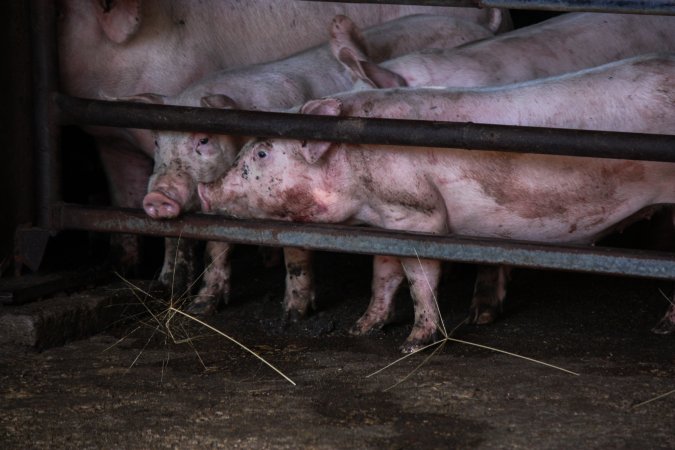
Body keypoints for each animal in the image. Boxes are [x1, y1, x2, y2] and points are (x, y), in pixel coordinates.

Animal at [198, 54, 675, 354]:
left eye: (262, 152)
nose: (205, 188)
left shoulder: (420, 215)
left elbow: (419, 277)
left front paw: (412, 344)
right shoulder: (387, 221)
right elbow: (383, 275)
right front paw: (361, 327)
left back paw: (661, 329)